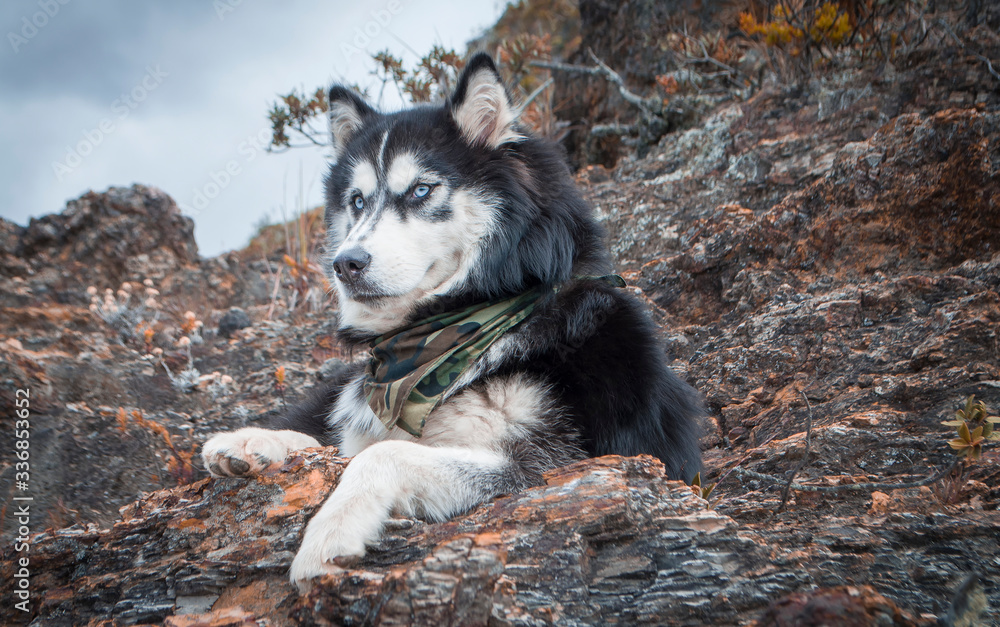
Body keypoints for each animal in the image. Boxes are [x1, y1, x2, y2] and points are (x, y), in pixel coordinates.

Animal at [203, 52, 704, 588]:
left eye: (421, 190)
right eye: (356, 201)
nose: (345, 264)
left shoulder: (557, 470)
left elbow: (382, 453)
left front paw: (330, 533)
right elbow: (340, 441)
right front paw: (258, 438)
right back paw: (248, 439)